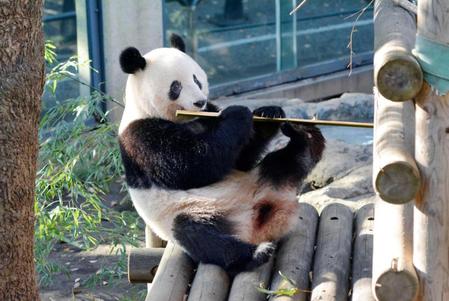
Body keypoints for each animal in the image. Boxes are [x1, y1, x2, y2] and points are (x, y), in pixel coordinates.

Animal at [117, 34, 324, 274]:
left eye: (196, 79)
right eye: (175, 86)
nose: (199, 101)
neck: (184, 119)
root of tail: (255, 224)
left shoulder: (209, 113)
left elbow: (241, 159)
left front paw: (268, 114)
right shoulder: (141, 136)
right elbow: (192, 165)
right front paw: (238, 114)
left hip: (261, 178)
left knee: (282, 162)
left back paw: (308, 142)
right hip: (188, 212)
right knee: (198, 235)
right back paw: (255, 253)